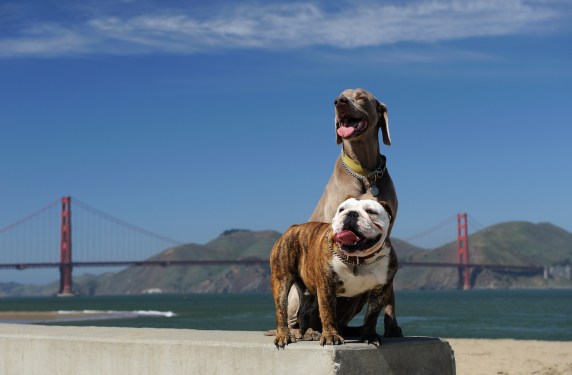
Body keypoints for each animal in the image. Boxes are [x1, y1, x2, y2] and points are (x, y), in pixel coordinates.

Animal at [272, 198, 398, 348]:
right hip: (282, 281)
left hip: (309, 294)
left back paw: (308, 333)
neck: (358, 259)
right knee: (281, 310)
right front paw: (331, 336)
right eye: (342, 209)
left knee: (303, 312)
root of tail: (293, 227)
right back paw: (284, 335)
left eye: (370, 211)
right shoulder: (326, 286)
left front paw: (369, 336)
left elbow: (372, 315)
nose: (352, 213)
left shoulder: (381, 289)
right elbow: (328, 312)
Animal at [286, 88, 402, 338]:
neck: (365, 173)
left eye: (361, 97)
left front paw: (392, 327)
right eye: (341, 95)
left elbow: (390, 293)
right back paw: (305, 331)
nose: (339, 102)